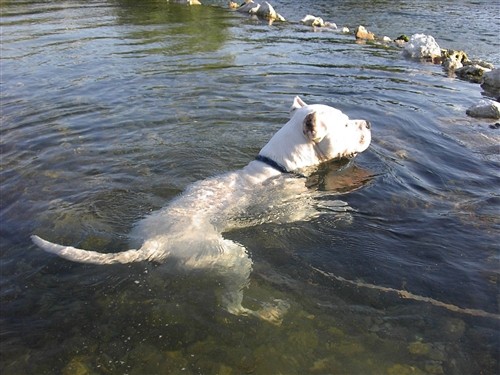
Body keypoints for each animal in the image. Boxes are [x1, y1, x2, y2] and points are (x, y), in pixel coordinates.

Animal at [30, 98, 368, 324]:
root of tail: (153, 245)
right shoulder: (290, 211)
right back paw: (269, 311)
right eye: (346, 123)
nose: (367, 123)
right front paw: (341, 209)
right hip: (233, 258)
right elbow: (317, 207)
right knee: (231, 304)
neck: (278, 166)